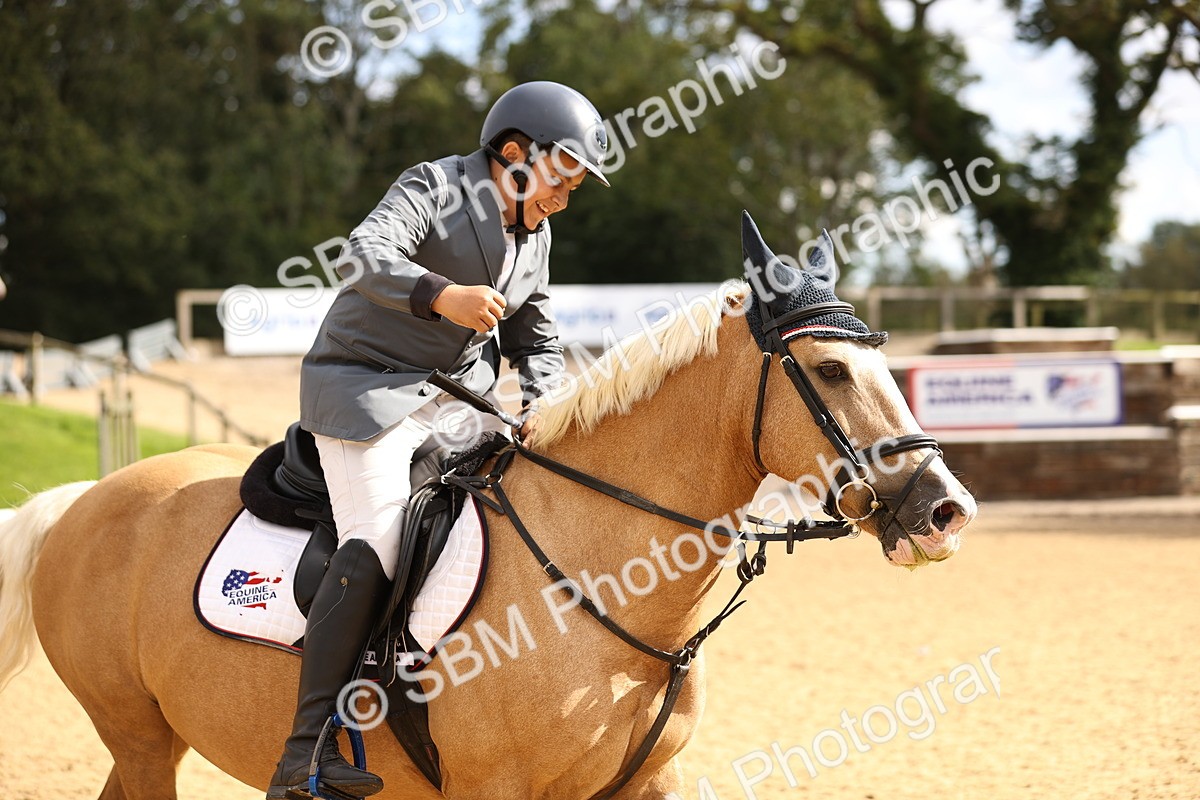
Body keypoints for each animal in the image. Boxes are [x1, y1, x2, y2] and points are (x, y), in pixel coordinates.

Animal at [0, 225, 975, 799]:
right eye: (833, 370)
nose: (946, 510)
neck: (599, 578)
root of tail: (83, 501)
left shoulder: (643, 787)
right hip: (137, 735)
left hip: (146, 743)